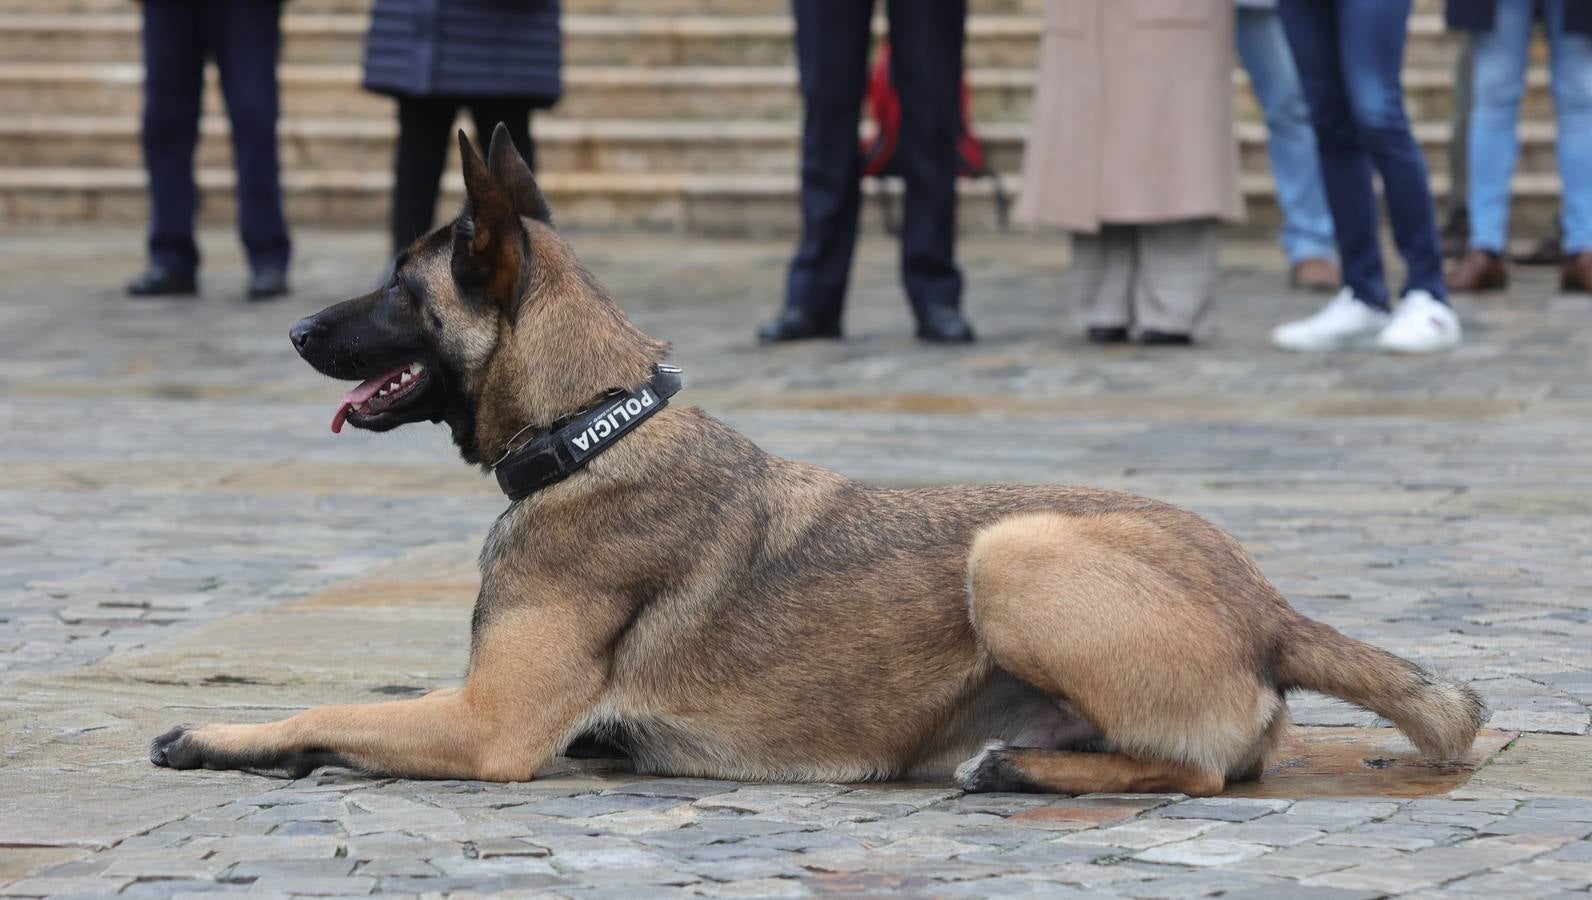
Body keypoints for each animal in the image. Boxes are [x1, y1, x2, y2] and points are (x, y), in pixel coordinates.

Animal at [149, 126, 1477, 793]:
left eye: (397, 288)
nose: (293, 329)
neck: (592, 428)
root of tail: (1269, 605)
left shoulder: (487, 727)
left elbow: (328, 707)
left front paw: (219, 736)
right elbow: (347, 712)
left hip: (1015, 550)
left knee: (1196, 772)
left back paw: (1014, 771)